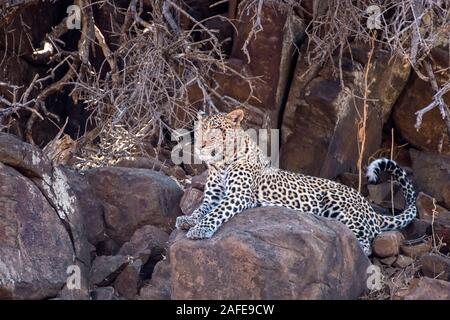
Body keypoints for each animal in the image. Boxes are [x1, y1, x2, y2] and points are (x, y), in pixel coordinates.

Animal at [175, 109, 414, 255]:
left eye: (215, 129)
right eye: (200, 128)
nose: (200, 145)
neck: (221, 162)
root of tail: (370, 209)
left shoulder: (237, 195)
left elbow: (215, 214)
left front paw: (198, 230)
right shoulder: (213, 197)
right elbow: (201, 209)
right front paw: (188, 220)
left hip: (340, 206)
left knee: (365, 244)